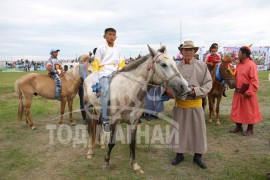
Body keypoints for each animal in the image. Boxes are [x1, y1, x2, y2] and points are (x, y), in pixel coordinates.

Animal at [83, 45, 189, 173]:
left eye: (174, 62)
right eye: (164, 64)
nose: (184, 87)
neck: (128, 90)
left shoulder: (134, 121)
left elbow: (132, 143)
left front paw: (135, 165)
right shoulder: (115, 121)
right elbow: (112, 143)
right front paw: (106, 163)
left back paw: (101, 144)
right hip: (89, 110)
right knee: (90, 129)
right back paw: (89, 152)